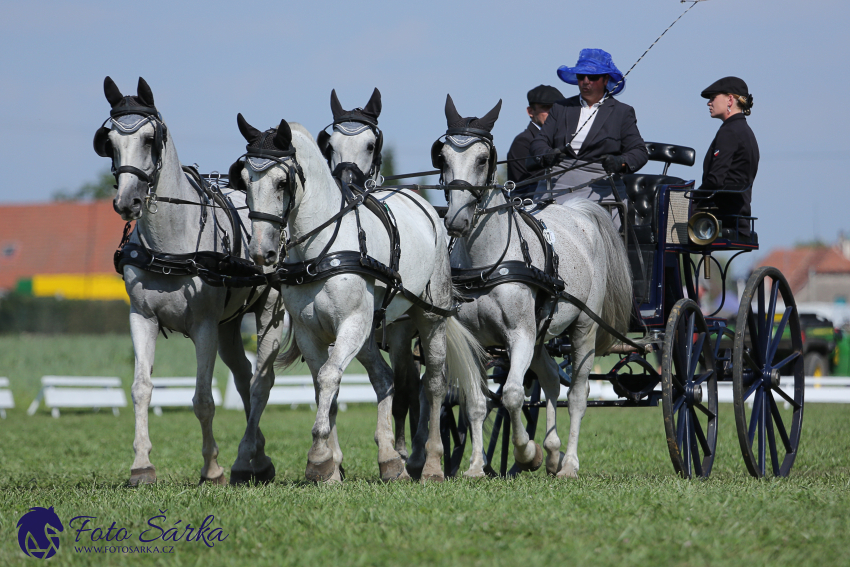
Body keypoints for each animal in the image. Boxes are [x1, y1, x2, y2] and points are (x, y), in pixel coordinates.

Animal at [94, 77, 284, 486]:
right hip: (228, 327)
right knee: (244, 377)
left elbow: (202, 399)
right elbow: (141, 389)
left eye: (150, 138)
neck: (171, 245)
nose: (127, 202)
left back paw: (252, 460)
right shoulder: (142, 319)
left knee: (261, 383)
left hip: (267, 314)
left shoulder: (204, 326)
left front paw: (211, 468)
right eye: (109, 140)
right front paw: (141, 465)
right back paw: (257, 454)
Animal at [234, 113, 484, 482]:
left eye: (281, 182)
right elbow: (324, 384)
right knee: (386, 378)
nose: (260, 252)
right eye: (245, 181)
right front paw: (331, 464)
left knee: (434, 385)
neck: (320, 248)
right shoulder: (310, 333)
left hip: (429, 318)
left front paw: (318, 456)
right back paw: (390, 459)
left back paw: (431, 464)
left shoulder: (351, 323)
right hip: (373, 331)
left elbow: (328, 377)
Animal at [438, 95, 628, 478]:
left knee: (578, 394)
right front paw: (476, 466)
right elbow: (476, 402)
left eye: (483, 158)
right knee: (552, 380)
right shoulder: (476, 340)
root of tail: (579, 210)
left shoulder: (520, 334)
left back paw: (568, 463)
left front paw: (527, 453)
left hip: (582, 329)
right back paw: (554, 453)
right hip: (542, 333)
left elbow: (512, 395)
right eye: (444, 156)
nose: (456, 220)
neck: (488, 263)